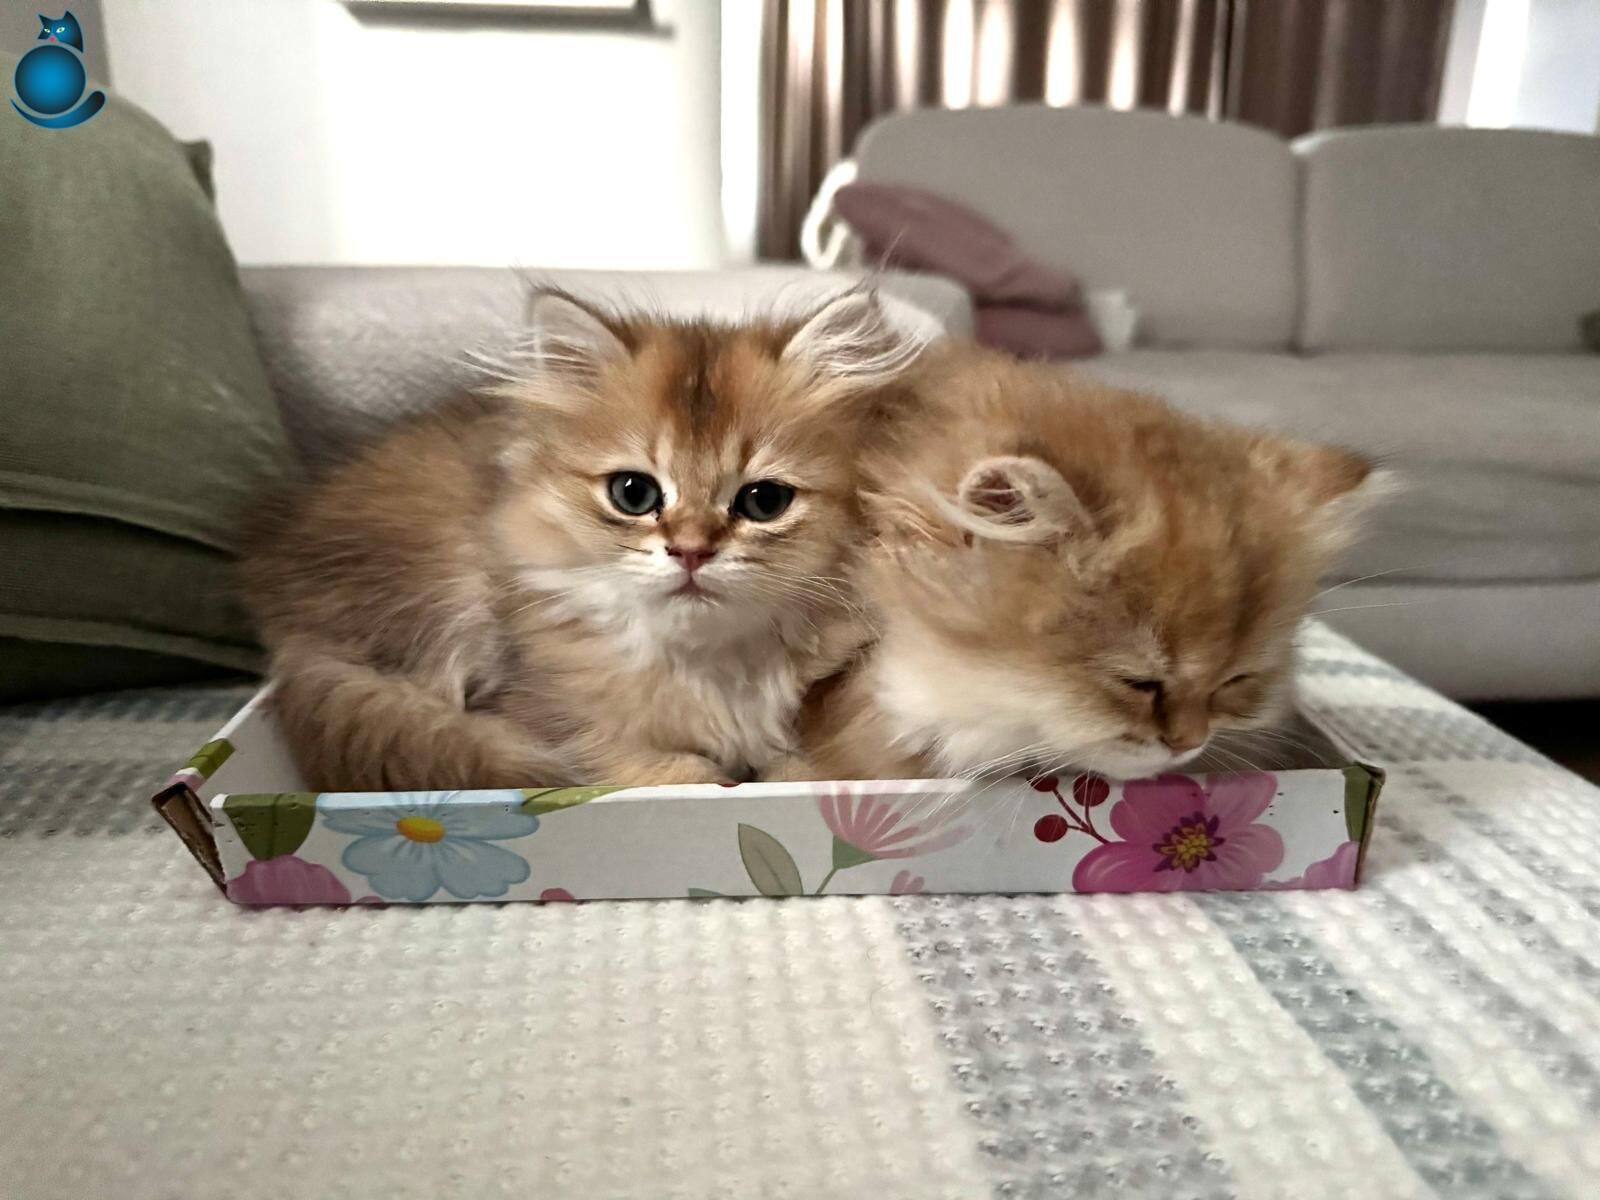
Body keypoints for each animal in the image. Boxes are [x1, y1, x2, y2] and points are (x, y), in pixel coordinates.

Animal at [243, 288, 922, 791]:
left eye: (764, 501)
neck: (707, 661)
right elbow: (646, 765)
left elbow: (805, 764)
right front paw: (704, 776)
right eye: (634, 494)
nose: (691, 551)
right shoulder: (541, 701)